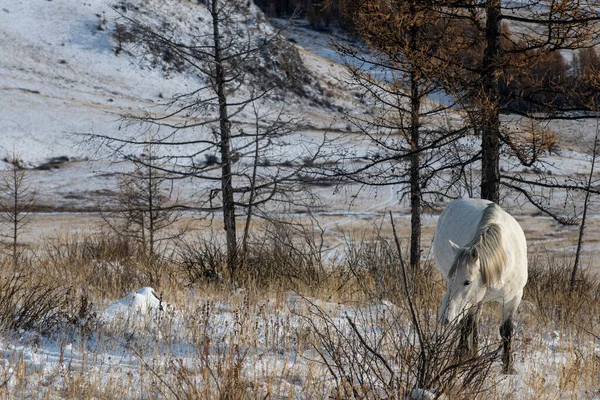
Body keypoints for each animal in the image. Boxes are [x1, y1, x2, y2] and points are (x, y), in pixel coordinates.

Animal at [434, 198, 528, 374]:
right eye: (450, 279)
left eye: (467, 282)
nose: (444, 318)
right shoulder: (471, 301)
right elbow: (467, 326)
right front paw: (459, 358)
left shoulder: (514, 298)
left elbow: (506, 331)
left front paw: (508, 368)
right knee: (471, 323)